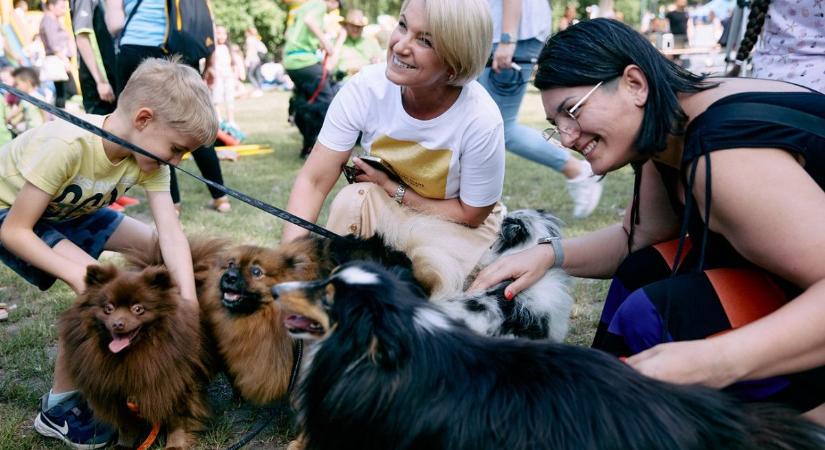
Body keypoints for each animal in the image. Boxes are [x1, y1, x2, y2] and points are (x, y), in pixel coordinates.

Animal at [58, 266, 212, 448]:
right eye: (108, 308)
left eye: (138, 309)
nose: (118, 323)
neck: (130, 357)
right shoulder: (118, 396)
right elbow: (126, 426)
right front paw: (123, 445)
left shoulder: (176, 386)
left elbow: (177, 420)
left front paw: (175, 445)